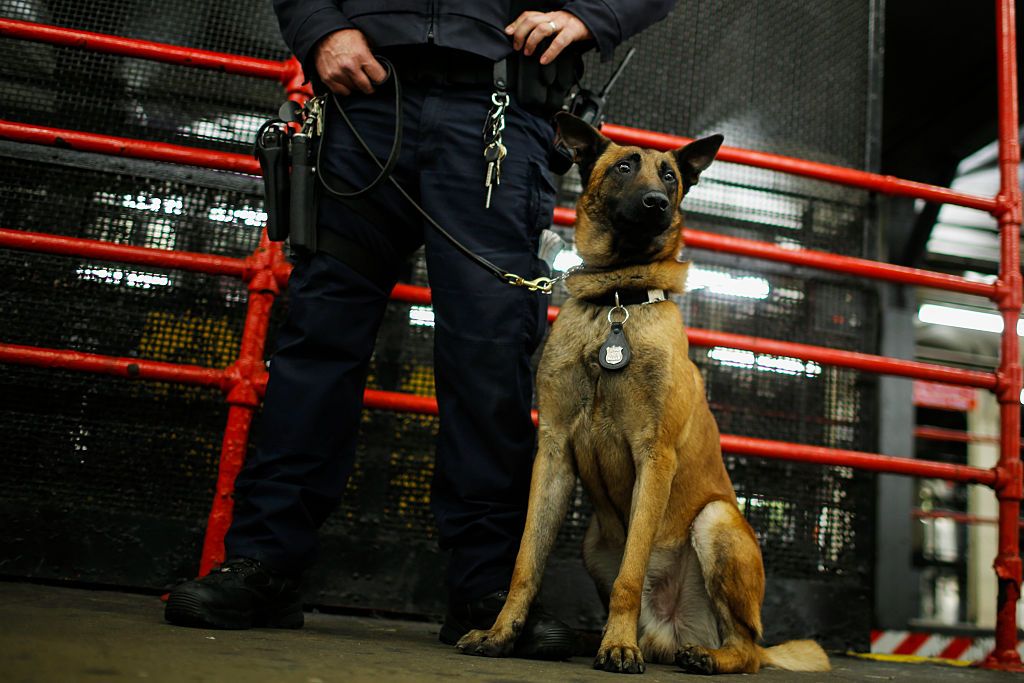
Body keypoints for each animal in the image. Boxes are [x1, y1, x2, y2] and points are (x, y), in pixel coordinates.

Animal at [456, 114, 831, 675]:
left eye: (670, 176)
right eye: (624, 167)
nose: (656, 202)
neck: (616, 300)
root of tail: (671, 629)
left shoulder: (655, 456)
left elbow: (630, 574)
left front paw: (618, 646)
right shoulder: (553, 453)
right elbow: (526, 562)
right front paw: (502, 633)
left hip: (716, 521)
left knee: (747, 649)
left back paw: (700, 655)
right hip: (593, 541)